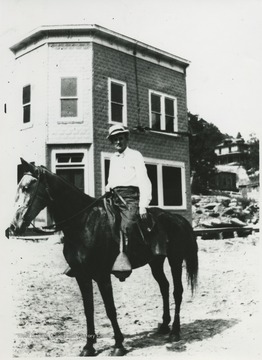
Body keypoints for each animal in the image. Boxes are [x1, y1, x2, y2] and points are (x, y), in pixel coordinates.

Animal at [9, 159, 199, 356]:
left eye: (27, 187)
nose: (13, 227)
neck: (84, 223)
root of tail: (177, 218)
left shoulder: (102, 276)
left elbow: (110, 309)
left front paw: (118, 344)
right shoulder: (82, 276)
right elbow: (89, 309)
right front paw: (89, 346)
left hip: (175, 260)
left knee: (177, 291)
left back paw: (175, 331)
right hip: (156, 262)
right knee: (164, 286)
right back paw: (164, 326)